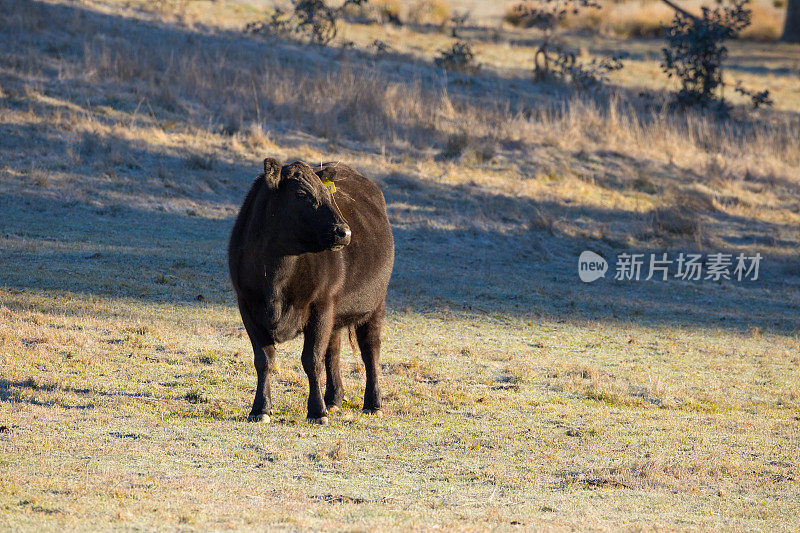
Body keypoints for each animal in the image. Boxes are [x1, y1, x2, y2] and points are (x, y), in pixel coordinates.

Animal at [228, 158, 394, 424]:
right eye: (301, 194)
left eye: (327, 194)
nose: (344, 232)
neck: (274, 276)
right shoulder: (247, 305)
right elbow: (264, 359)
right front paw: (260, 408)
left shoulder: (320, 305)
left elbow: (312, 359)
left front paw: (317, 412)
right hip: (336, 314)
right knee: (333, 351)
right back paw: (334, 399)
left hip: (375, 303)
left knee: (371, 350)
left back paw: (373, 403)